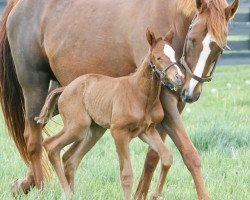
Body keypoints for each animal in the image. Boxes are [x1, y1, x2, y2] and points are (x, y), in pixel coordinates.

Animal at [35, 28, 184, 199]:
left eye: (175, 55)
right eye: (158, 57)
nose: (179, 77)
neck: (141, 94)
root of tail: (65, 88)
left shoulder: (147, 130)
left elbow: (167, 157)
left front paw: (155, 194)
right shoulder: (119, 132)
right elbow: (126, 174)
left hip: (94, 131)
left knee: (71, 160)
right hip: (78, 126)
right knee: (51, 145)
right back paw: (67, 192)